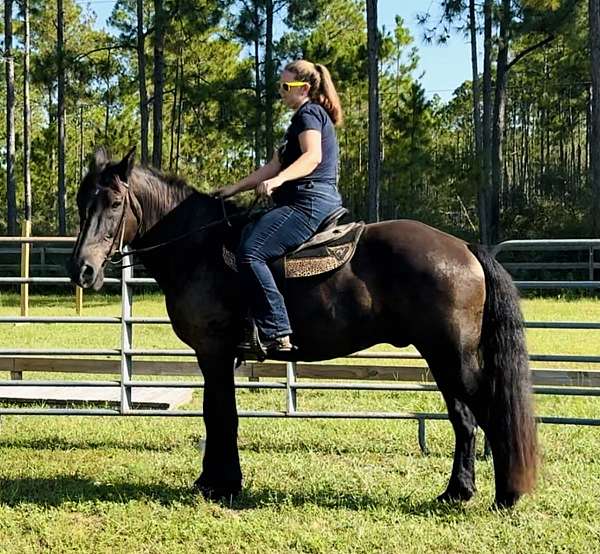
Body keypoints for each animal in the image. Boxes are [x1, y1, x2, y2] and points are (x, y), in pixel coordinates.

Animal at [68, 147, 536, 504]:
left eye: (114, 203)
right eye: (80, 203)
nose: (83, 270)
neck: (200, 247)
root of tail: (465, 248)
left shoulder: (213, 351)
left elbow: (219, 415)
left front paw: (222, 485)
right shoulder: (219, 356)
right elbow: (218, 414)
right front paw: (217, 480)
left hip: (452, 356)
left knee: (487, 413)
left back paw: (506, 495)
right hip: (443, 359)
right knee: (464, 420)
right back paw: (457, 492)